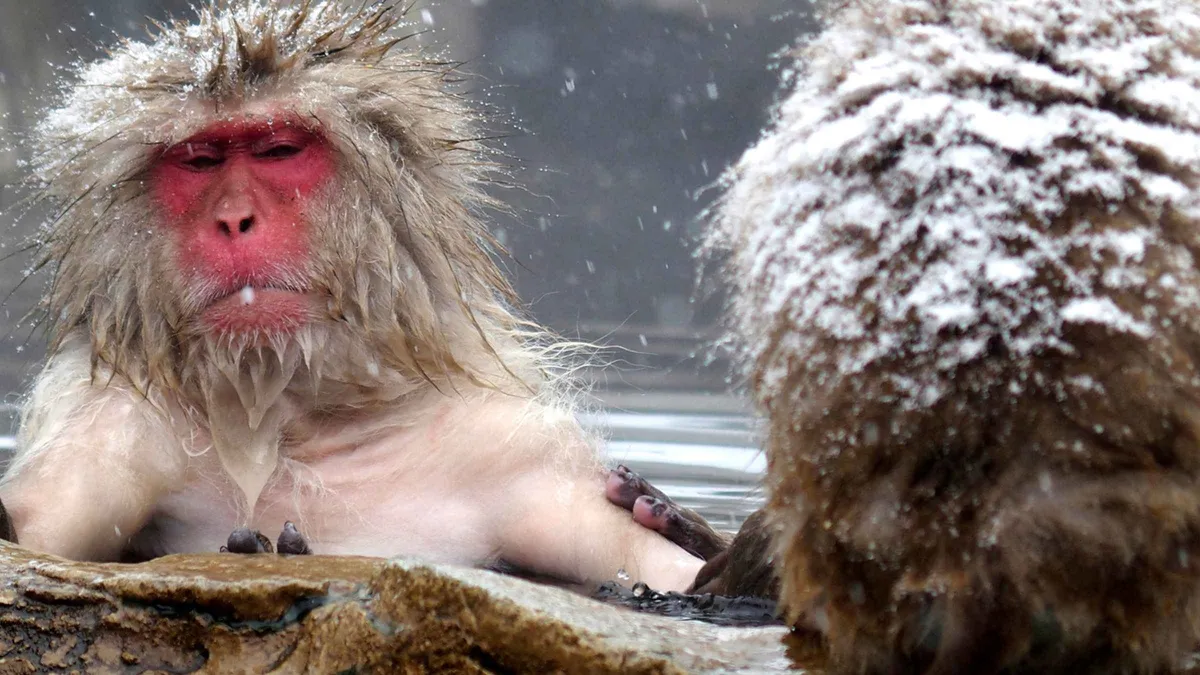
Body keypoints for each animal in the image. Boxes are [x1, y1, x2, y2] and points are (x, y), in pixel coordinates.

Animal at [0, 0, 705, 594]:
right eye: (199, 161)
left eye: (279, 149)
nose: (232, 219)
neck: (298, 422)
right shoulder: (108, 418)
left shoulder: (520, 454)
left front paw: (691, 538)